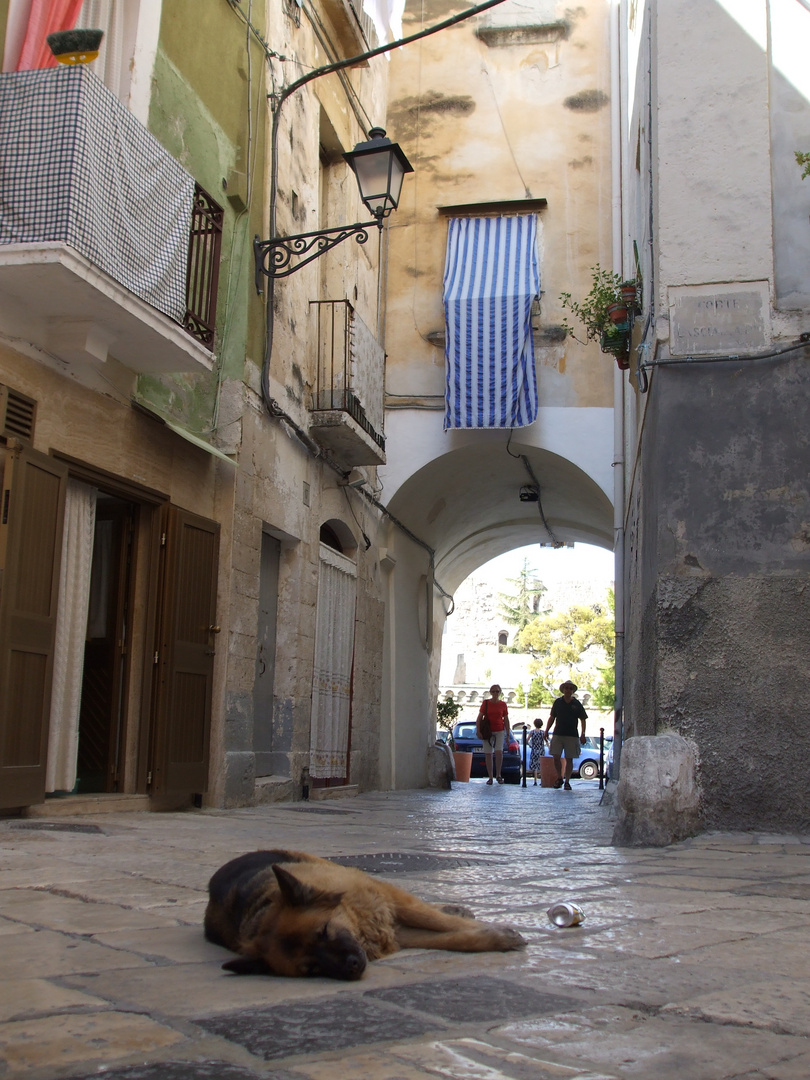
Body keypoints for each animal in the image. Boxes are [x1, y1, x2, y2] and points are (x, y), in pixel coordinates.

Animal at [206, 846, 529, 984]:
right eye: (311, 969)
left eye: (324, 931)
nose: (351, 967)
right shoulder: (396, 933)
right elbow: (451, 939)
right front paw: (494, 938)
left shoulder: (389, 900)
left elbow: (442, 923)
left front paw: (499, 933)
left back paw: (456, 908)